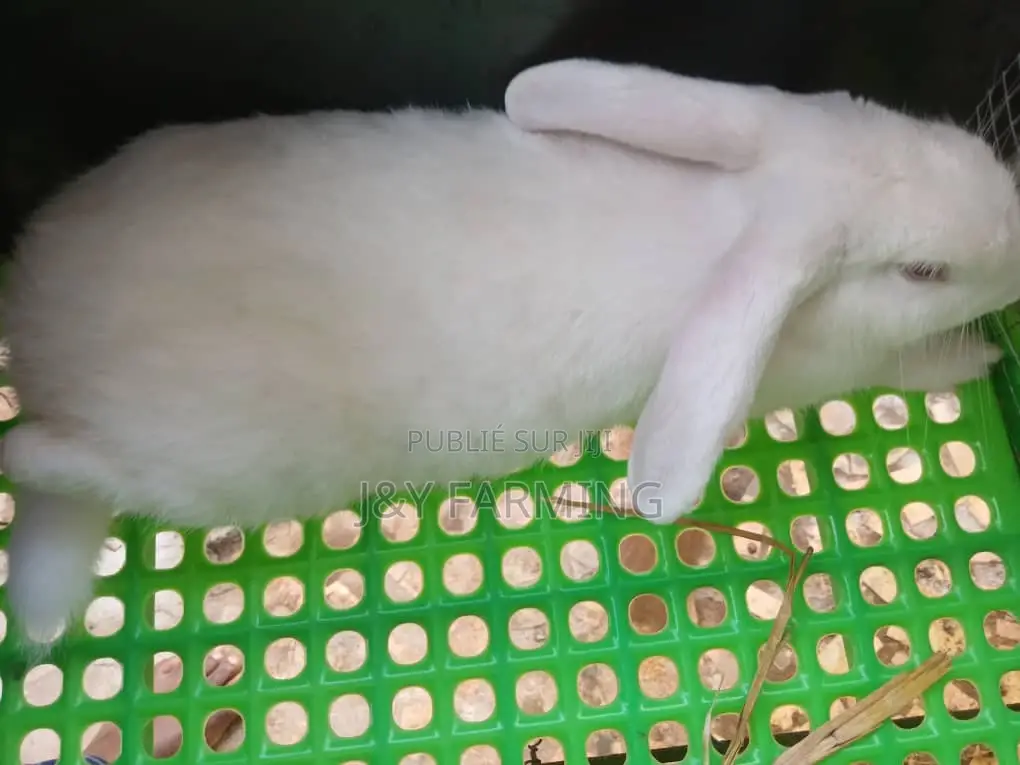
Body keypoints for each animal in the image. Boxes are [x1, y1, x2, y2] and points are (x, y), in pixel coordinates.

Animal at [2, 58, 1019, 652]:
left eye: (941, 134)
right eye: (923, 271)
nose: (1015, 235)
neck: (726, 222)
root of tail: (42, 342)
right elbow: (909, 366)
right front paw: (970, 358)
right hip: (199, 469)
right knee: (41, 453)